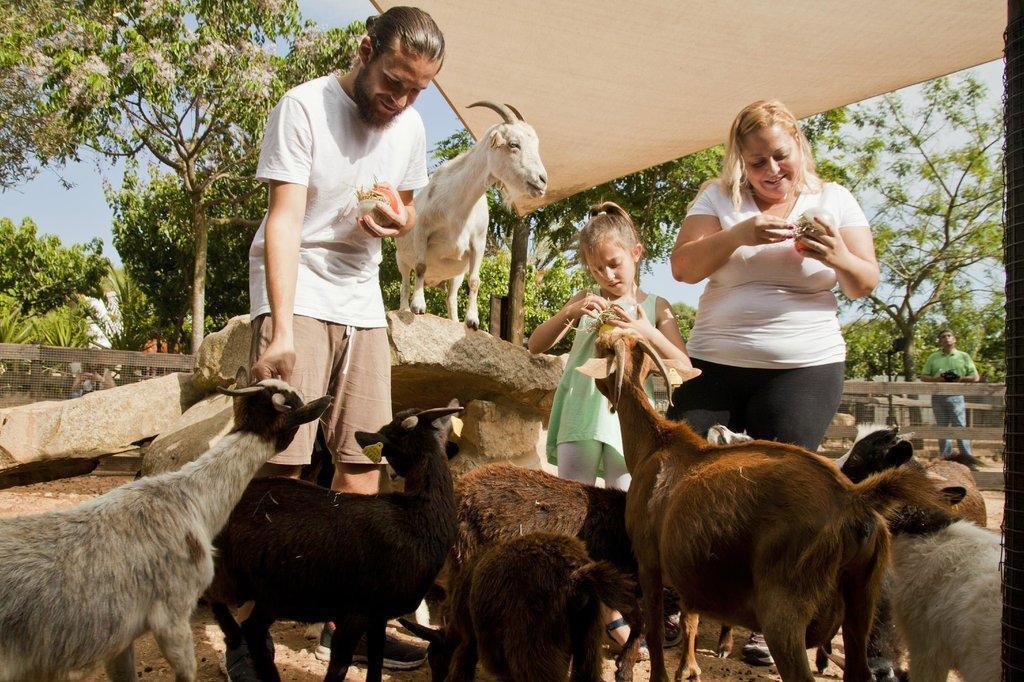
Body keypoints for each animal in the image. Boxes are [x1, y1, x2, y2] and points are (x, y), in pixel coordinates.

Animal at [395, 99, 548, 327]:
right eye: (514, 144)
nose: (542, 181)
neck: (458, 209)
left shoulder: (477, 243)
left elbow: (475, 281)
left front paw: (472, 320)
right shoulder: (423, 231)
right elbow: (421, 266)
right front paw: (419, 306)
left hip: (455, 275)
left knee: (450, 297)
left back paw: (454, 321)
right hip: (401, 260)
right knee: (405, 283)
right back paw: (405, 308)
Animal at [577, 327, 942, 675]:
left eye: (601, 346)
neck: (656, 443)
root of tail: (852, 499)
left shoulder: (649, 561)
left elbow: (654, 638)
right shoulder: (687, 563)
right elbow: (690, 618)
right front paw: (690, 669)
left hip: (784, 606)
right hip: (863, 599)